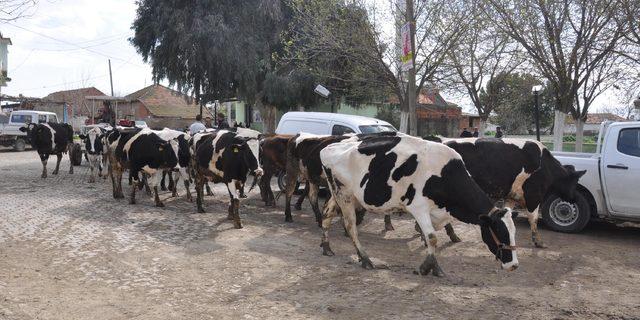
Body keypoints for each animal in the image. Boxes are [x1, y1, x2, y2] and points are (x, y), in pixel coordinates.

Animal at [320, 134, 520, 276]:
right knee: (350, 226)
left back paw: (326, 247)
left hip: (341, 195)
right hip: (344, 195)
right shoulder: (419, 207)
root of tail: (330, 147)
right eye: (501, 232)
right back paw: (365, 259)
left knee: (326, 214)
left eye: (513, 233)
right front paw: (429, 267)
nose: (514, 265)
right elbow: (432, 237)